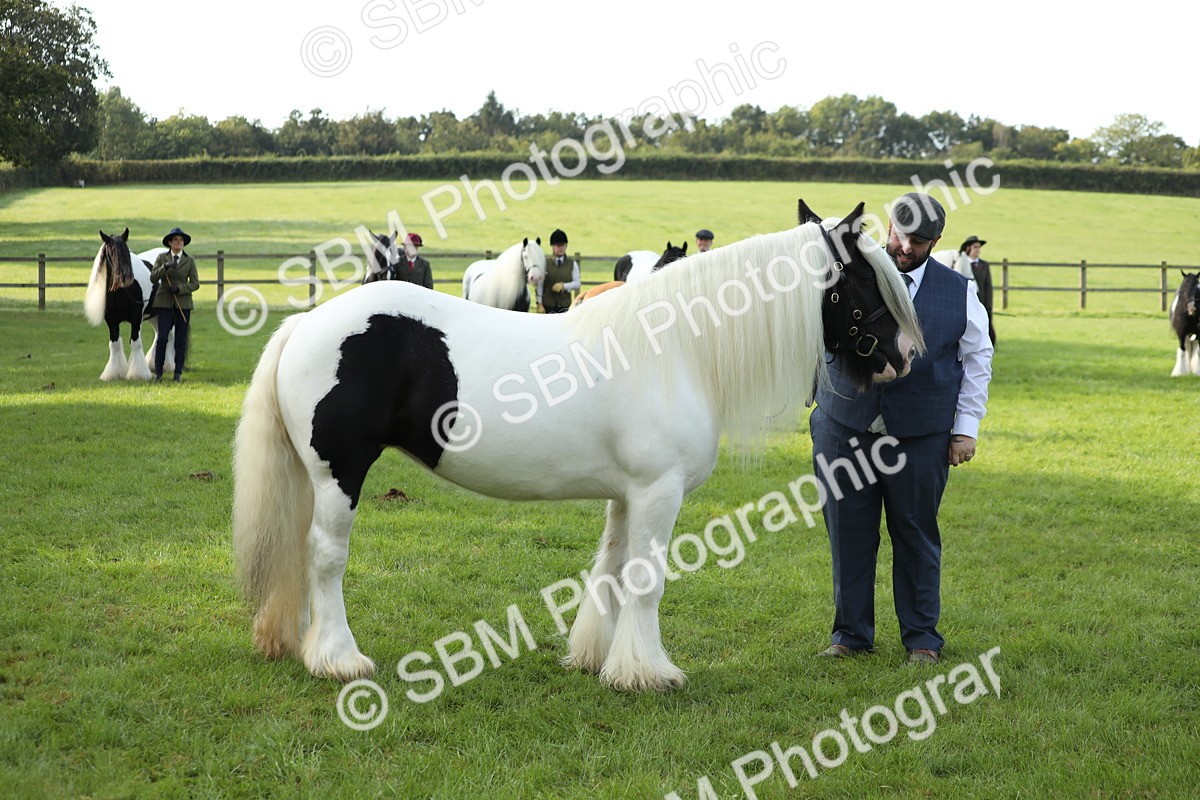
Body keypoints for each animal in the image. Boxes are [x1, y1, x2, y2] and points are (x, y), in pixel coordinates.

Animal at [83, 230, 173, 380]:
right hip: (154, 315)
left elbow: (136, 343)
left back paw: (169, 365)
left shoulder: (136, 318)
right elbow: (114, 345)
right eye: (111, 253)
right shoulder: (111, 321)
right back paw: (154, 364)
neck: (120, 292)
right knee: (159, 334)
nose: (126, 277)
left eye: (127, 251)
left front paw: (138, 373)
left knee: (169, 335)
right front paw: (113, 373)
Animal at [231, 200, 923, 690]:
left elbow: (612, 571)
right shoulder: (659, 492)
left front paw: (599, 657)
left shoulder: (628, 495)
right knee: (325, 558)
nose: (906, 358)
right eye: (866, 281)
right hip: (340, 475)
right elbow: (647, 579)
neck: (674, 350)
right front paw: (648, 673)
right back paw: (339, 659)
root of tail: (306, 324)